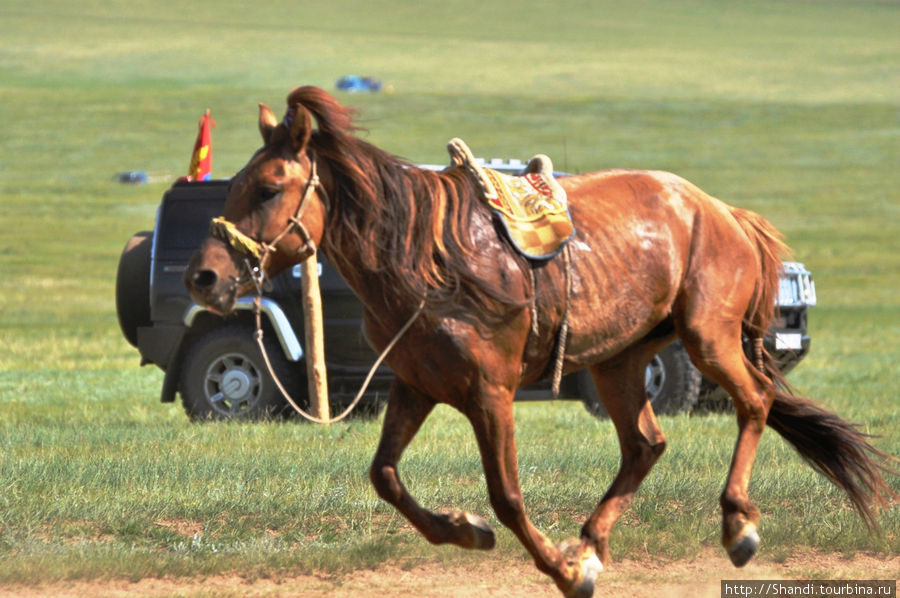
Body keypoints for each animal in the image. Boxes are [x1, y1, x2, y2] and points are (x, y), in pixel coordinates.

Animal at [185, 85, 892, 598]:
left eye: (269, 187)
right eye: (234, 185)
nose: (203, 276)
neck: (426, 257)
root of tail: (723, 213)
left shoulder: (489, 393)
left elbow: (506, 494)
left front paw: (561, 570)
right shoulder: (417, 384)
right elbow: (384, 475)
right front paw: (466, 531)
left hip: (707, 339)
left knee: (754, 403)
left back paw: (736, 523)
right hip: (620, 360)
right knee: (646, 443)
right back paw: (593, 542)